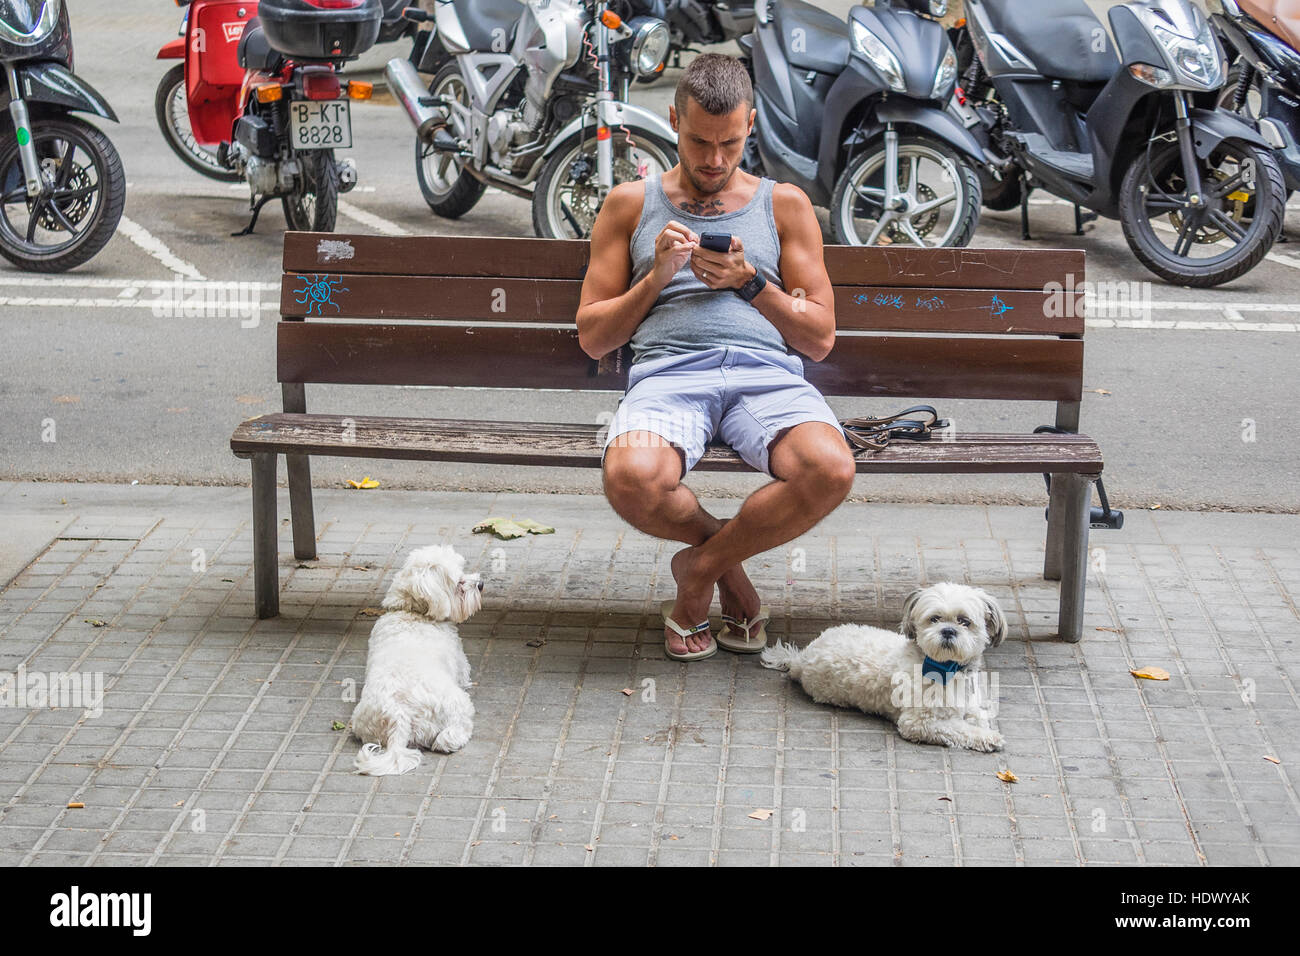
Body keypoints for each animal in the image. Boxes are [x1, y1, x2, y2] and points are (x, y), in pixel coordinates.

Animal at [351, 546, 483, 780]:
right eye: (459, 582)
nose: (481, 584)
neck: (412, 613)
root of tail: (398, 716)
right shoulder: (460, 660)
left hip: (363, 724)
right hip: (457, 704)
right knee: (448, 736)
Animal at [759, 582, 1008, 754]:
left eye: (964, 621)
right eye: (935, 619)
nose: (948, 631)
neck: (948, 669)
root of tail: (801, 658)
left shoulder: (969, 703)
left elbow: (977, 715)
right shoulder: (918, 723)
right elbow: (958, 728)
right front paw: (988, 737)